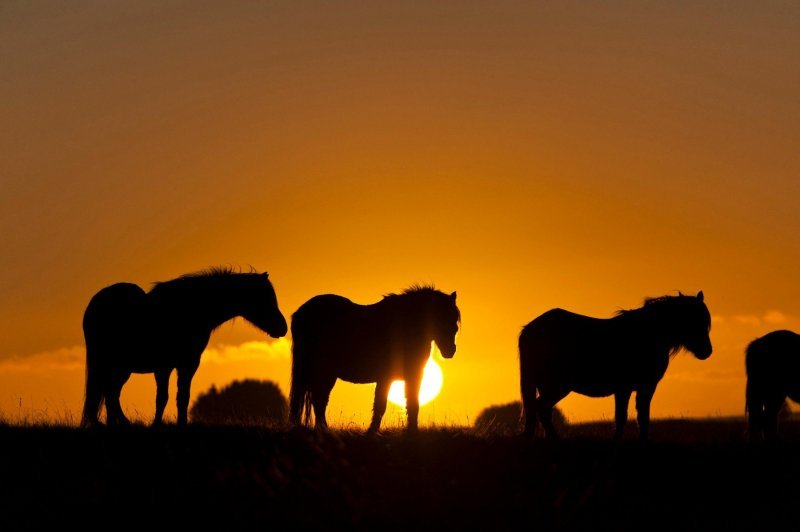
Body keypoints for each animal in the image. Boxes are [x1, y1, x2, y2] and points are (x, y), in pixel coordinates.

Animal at [78, 268, 290, 426]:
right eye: (264, 298)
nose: (283, 327)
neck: (189, 310)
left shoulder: (188, 364)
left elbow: (183, 397)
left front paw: (181, 424)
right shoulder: (163, 367)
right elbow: (162, 397)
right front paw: (157, 425)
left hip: (120, 368)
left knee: (111, 393)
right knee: (109, 393)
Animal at [290, 286, 460, 432]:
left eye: (454, 322)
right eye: (440, 319)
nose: (450, 351)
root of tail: (301, 313)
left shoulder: (413, 376)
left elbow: (413, 404)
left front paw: (412, 433)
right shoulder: (386, 377)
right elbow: (381, 406)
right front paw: (372, 432)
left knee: (319, 400)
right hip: (324, 372)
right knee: (319, 400)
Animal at [520, 290, 712, 440]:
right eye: (692, 320)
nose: (707, 352)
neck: (649, 334)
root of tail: (530, 329)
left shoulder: (629, 389)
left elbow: (632, 417)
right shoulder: (640, 387)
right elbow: (631, 417)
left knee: (542, 411)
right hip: (557, 386)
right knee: (540, 408)